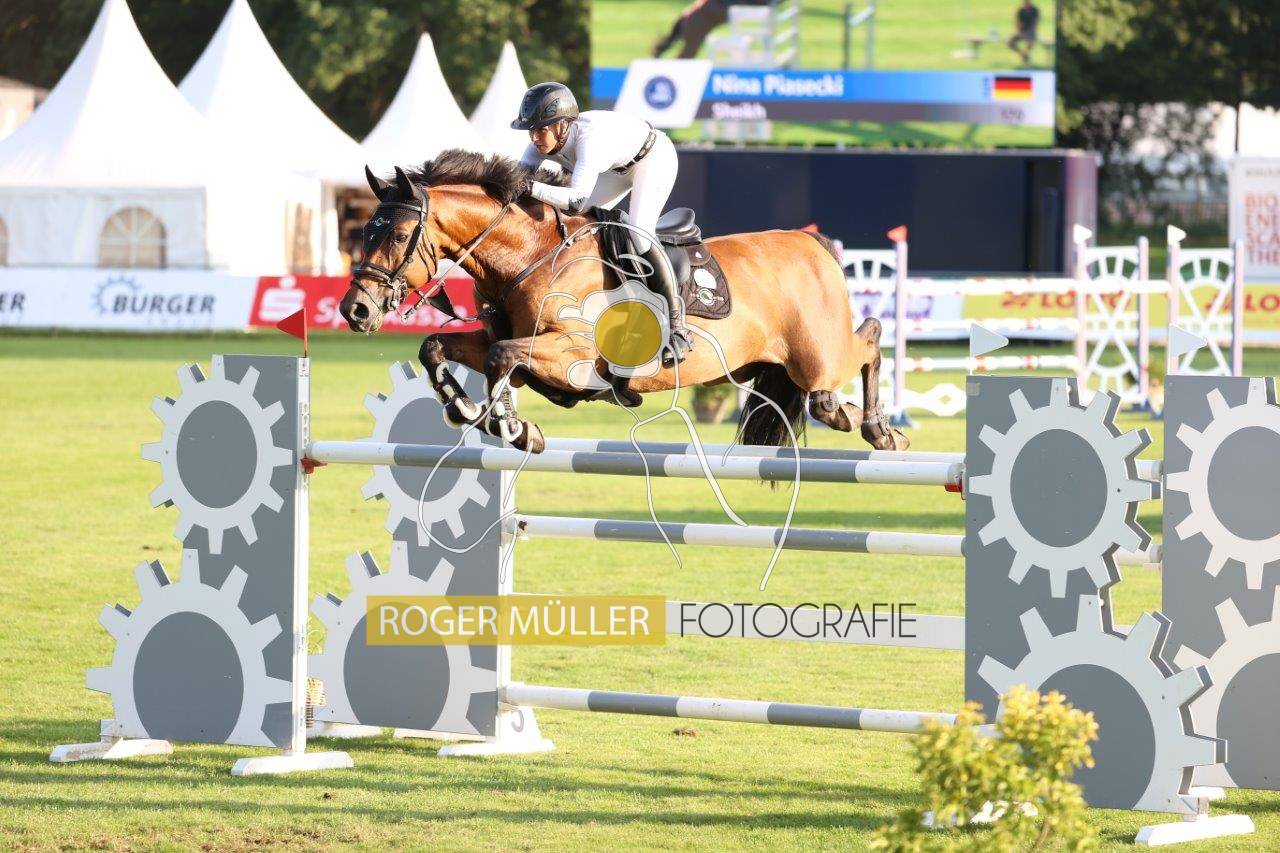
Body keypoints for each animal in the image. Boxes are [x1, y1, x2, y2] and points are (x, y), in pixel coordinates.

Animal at [340, 150, 908, 456]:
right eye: (364, 232)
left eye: (396, 235)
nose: (355, 311)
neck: (531, 254)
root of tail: (813, 243)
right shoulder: (507, 339)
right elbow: (436, 347)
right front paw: (470, 411)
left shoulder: (572, 354)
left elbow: (503, 360)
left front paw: (514, 428)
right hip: (768, 366)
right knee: (836, 381)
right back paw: (852, 417)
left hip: (815, 356)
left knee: (868, 341)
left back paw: (880, 431)